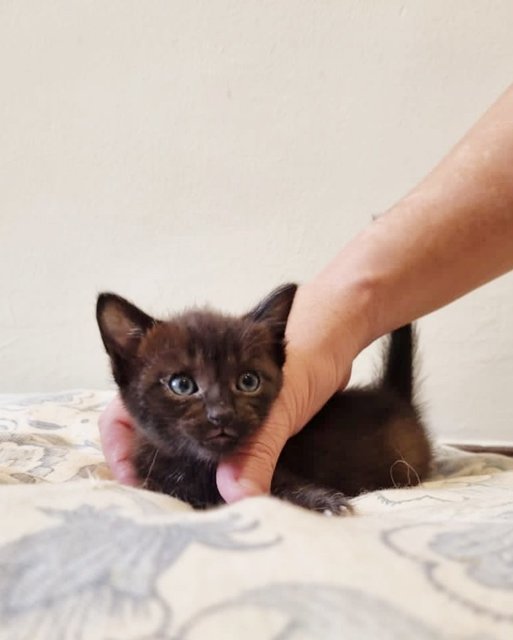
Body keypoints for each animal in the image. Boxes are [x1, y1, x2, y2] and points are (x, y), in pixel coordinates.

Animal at [97, 284, 432, 516]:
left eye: (248, 381)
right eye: (181, 384)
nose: (221, 413)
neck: (200, 469)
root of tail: (391, 393)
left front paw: (322, 503)